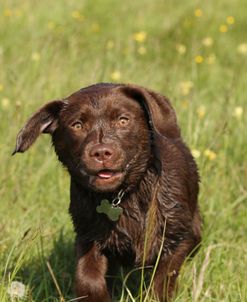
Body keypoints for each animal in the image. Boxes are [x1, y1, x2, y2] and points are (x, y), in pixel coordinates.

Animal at [13, 82, 202, 300]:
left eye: (123, 120)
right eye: (77, 125)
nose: (101, 152)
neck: (121, 196)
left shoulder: (177, 238)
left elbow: (162, 280)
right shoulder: (88, 236)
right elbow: (88, 278)